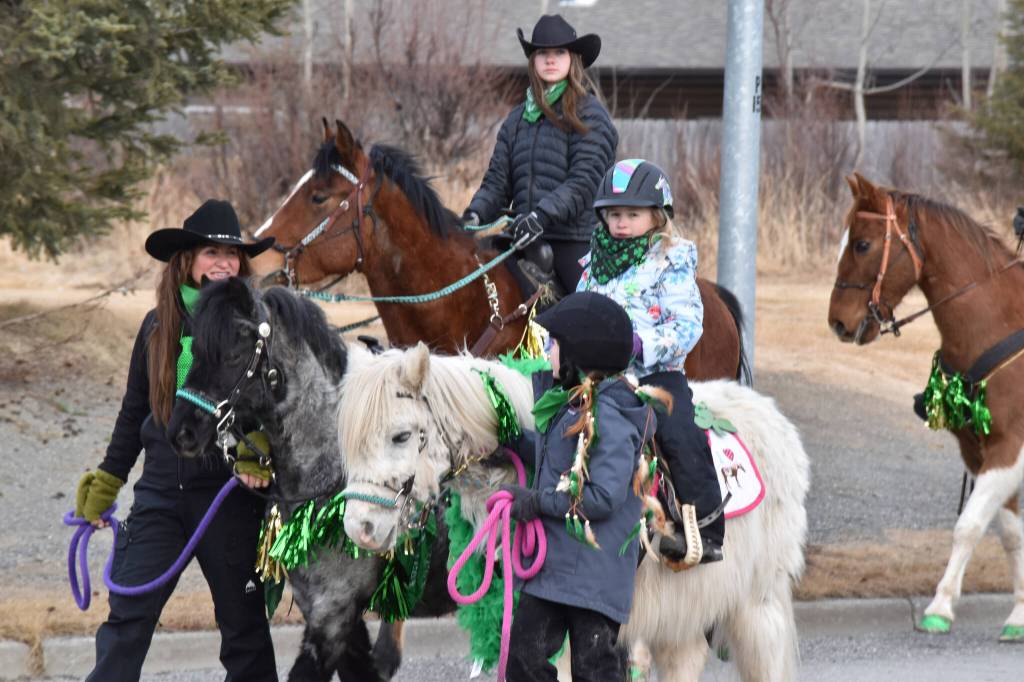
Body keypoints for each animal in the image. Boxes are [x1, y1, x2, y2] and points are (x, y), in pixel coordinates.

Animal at [337, 343, 810, 681]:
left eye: (401, 436)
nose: (360, 528)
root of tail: (773, 418)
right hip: (687, 604)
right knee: (685, 659)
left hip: (757, 603)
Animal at [828, 173, 1024, 641]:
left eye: (862, 244)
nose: (838, 322)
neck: (999, 325)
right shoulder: (981, 450)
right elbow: (1010, 534)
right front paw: (1019, 615)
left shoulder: (1012, 448)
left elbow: (968, 525)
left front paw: (939, 606)